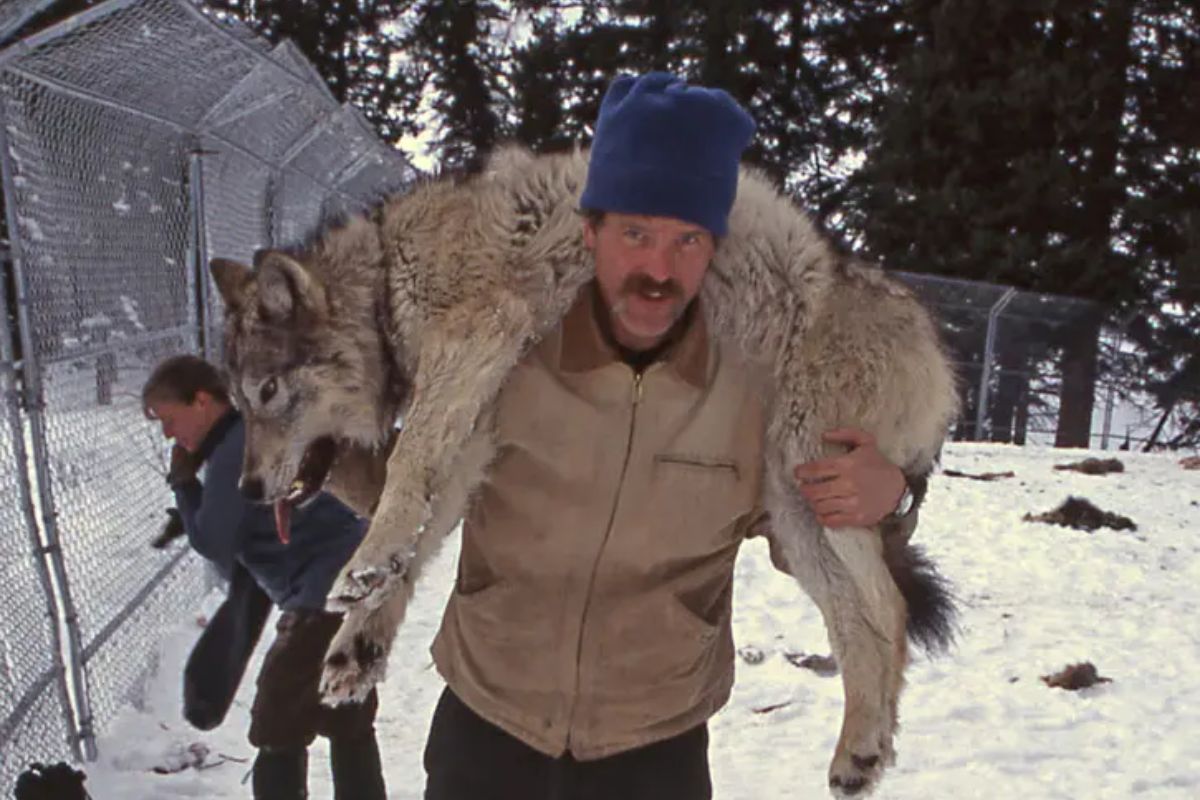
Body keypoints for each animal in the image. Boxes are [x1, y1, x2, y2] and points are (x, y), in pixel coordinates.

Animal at [210, 146, 958, 797]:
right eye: (240, 404)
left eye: (267, 394)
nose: (247, 488)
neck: (386, 283)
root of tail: (935, 345)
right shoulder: (475, 439)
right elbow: (416, 539)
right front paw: (358, 646)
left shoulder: (473, 338)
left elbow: (405, 466)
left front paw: (366, 563)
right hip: (798, 512)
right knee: (863, 620)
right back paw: (860, 754)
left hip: (817, 476)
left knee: (888, 608)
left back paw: (864, 745)